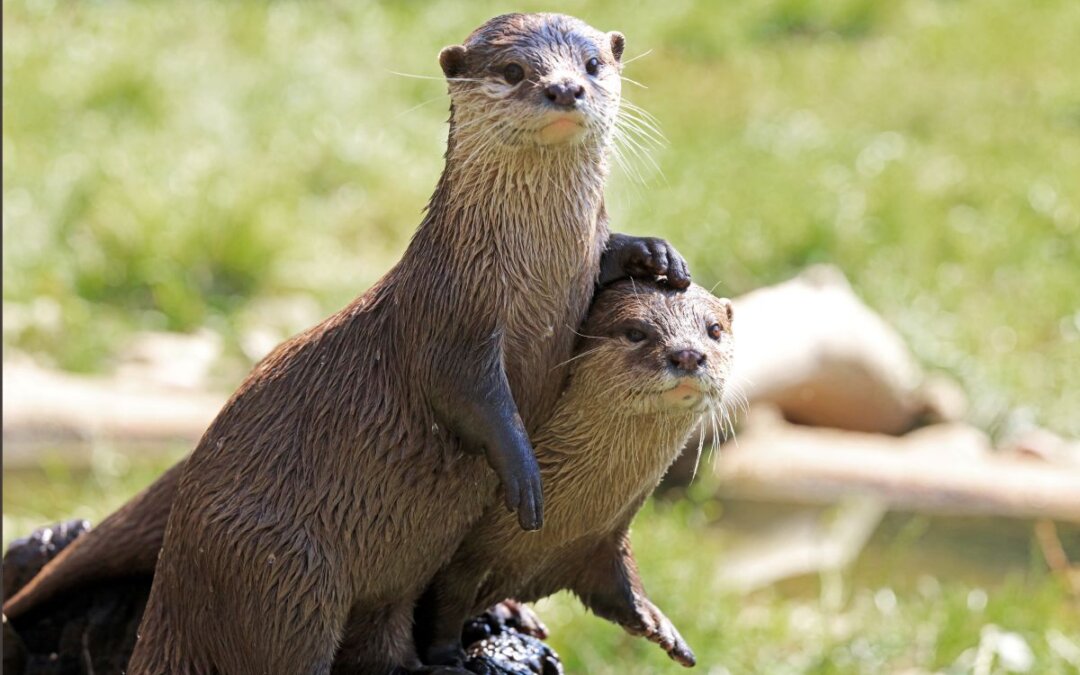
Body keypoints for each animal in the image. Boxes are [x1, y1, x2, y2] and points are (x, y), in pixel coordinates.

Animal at [104, 13, 688, 675]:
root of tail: (172, 587)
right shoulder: (448, 321)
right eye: (514, 70)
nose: (564, 88)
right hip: (281, 572)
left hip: (385, 583)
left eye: (592, 63)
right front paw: (524, 472)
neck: (530, 278)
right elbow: (468, 394)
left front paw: (654, 255)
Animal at [417, 280, 734, 669]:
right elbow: (446, 604)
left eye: (714, 329)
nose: (687, 354)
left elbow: (619, 583)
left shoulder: (604, 538)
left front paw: (656, 620)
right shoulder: (461, 560)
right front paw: (449, 657)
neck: (555, 530)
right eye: (635, 332)